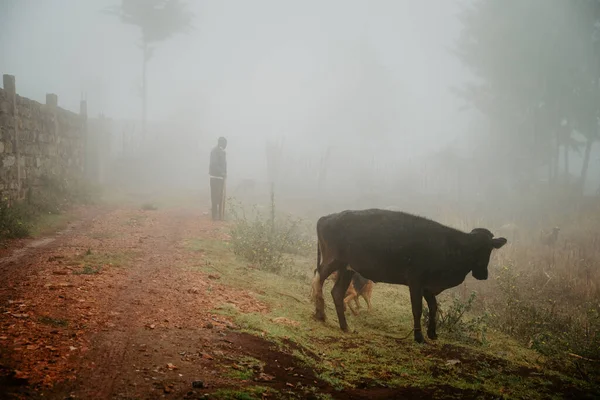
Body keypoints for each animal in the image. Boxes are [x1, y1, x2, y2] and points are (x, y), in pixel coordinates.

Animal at [312, 208, 508, 342]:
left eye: (489, 248)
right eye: (477, 249)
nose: (483, 274)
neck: (446, 248)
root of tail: (326, 217)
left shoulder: (429, 286)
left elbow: (434, 308)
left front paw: (432, 333)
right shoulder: (416, 281)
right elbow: (417, 309)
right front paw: (419, 337)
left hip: (347, 269)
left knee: (337, 293)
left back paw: (344, 326)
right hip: (332, 260)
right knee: (317, 279)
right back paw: (320, 313)